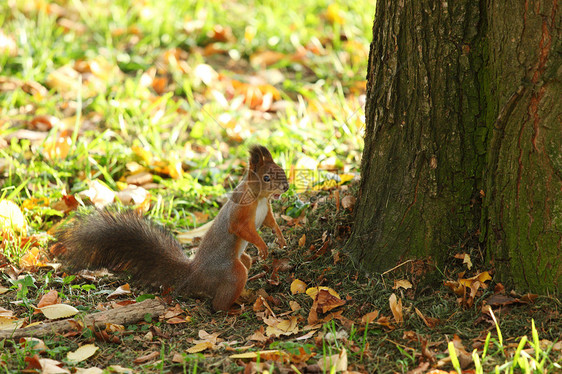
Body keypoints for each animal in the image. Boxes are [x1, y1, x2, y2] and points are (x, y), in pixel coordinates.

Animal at [51, 145, 288, 312]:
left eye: (282, 170)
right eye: (267, 177)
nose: (285, 187)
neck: (260, 198)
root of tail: (194, 274)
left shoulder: (266, 211)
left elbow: (270, 222)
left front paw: (280, 237)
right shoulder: (240, 211)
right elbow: (240, 228)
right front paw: (262, 245)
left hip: (239, 261)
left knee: (244, 264)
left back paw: (245, 295)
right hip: (230, 271)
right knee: (219, 302)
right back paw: (232, 309)